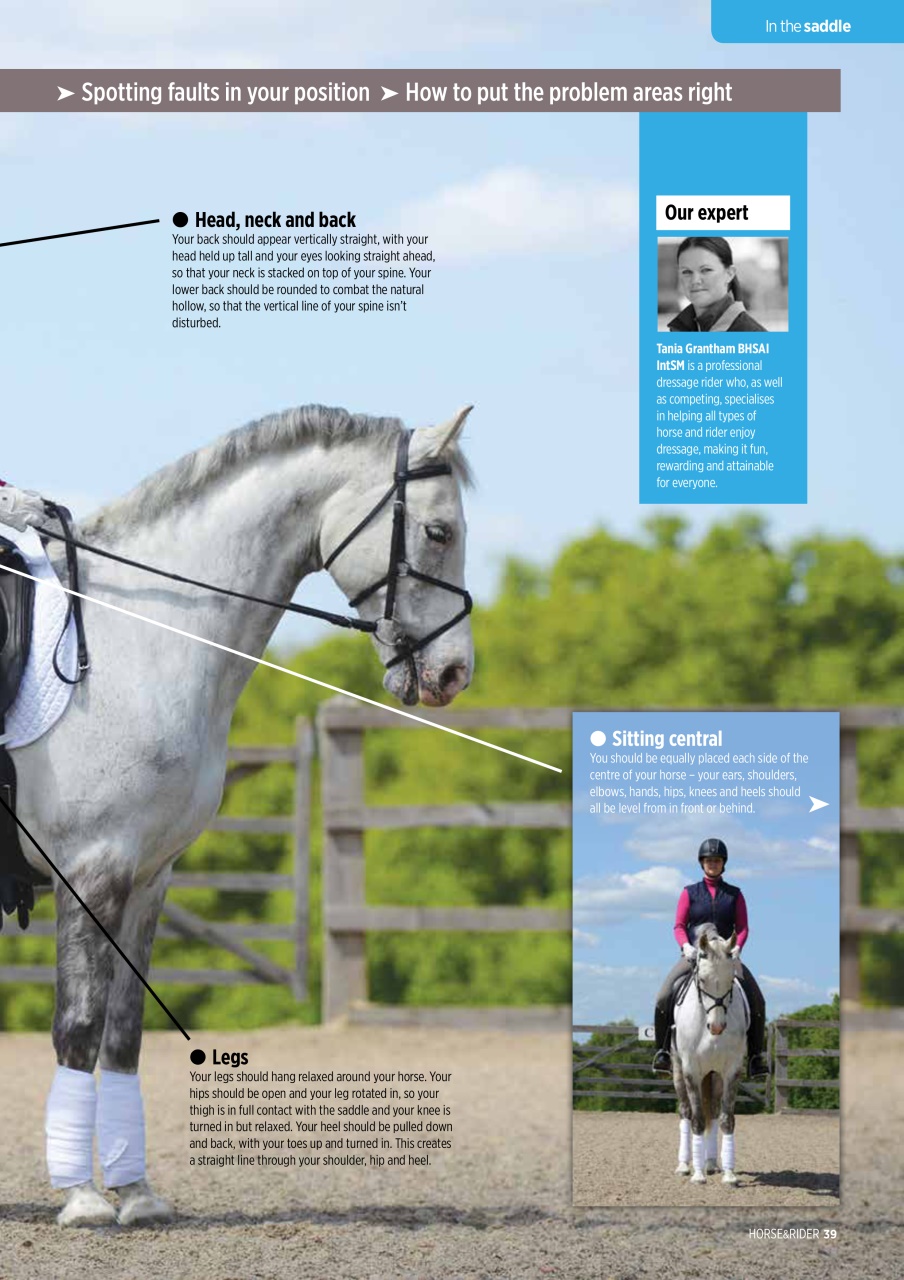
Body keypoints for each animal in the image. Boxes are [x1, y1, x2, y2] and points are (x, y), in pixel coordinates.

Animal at [8, 403, 474, 1226]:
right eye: (439, 532)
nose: (455, 673)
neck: (141, 639)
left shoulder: (149, 877)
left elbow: (123, 1033)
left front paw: (135, 1193)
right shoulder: (90, 871)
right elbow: (78, 1026)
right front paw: (84, 1199)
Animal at [671, 924, 747, 1186]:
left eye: (731, 979)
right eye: (702, 980)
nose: (717, 1027)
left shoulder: (732, 1070)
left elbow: (726, 1119)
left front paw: (730, 1174)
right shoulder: (691, 1070)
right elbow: (697, 1119)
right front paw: (697, 1174)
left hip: (714, 1075)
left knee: (713, 1110)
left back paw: (713, 1162)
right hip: (678, 1070)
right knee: (685, 1112)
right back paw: (685, 1165)